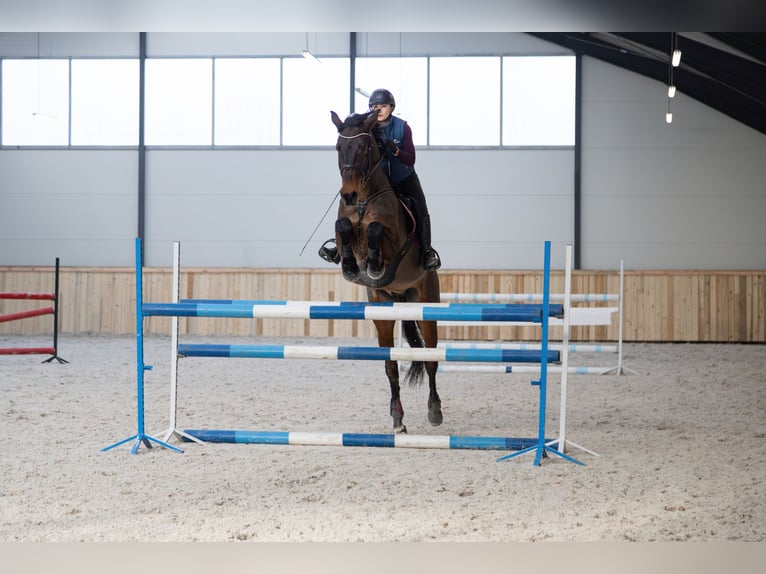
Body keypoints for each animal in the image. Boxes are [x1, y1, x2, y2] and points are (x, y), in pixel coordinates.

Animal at [325, 109, 442, 434]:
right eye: (338, 148)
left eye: (365, 148)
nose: (348, 195)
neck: (365, 200)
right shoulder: (344, 226)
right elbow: (343, 226)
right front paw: (350, 264)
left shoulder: (396, 240)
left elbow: (376, 230)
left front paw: (375, 264)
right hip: (382, 312)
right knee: (390, 365)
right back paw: (397, 419)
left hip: (426, 303)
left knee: (431, 359)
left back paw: (435, 411)